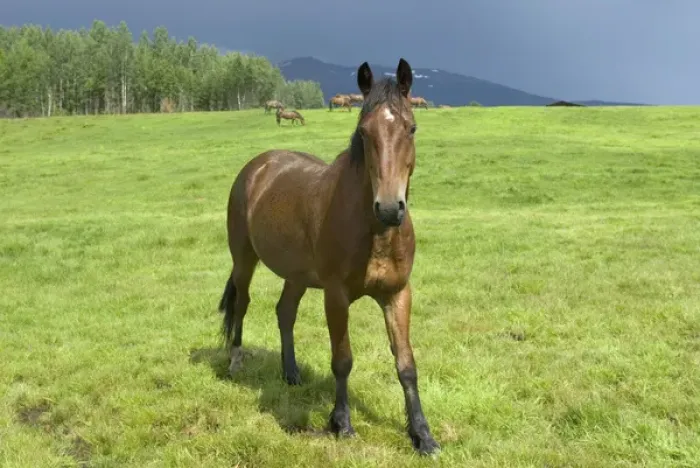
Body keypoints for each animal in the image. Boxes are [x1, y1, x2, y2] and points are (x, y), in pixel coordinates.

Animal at [217, 58, 439, 456]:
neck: (374, 232)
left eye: (411, 128)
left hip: (297, 275)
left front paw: (422, 435)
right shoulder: (336, 297)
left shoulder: (397, 294)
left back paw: (291, 374)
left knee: (284, 312)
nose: (389, 208)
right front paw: (342, 423)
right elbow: (342, 359)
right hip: (244, 260)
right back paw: (236, 363)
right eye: (364, 133)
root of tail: (258, 166)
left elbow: (406, 364)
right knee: (241, 305)